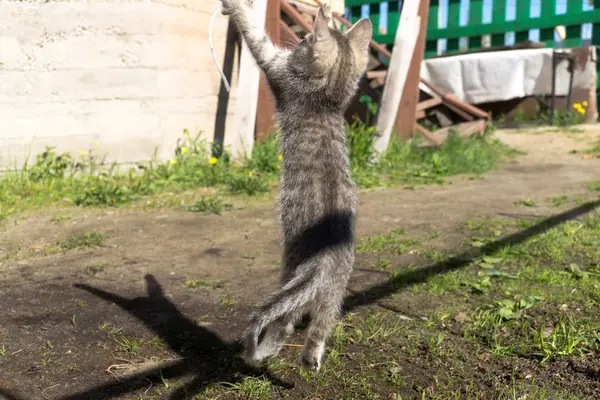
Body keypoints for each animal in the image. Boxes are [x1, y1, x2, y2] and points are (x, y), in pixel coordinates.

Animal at [220, 0, 370, 370]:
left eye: (303, 41)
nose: (300, 37)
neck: (327, 101)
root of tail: (325, 259)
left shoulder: (277, 68)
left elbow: (254, 34)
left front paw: (235, 8)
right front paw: (328, 12)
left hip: (290, 268)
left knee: (284, 321)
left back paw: (264, 350)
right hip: (334, 294)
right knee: (320, 326)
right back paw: (310, 357)